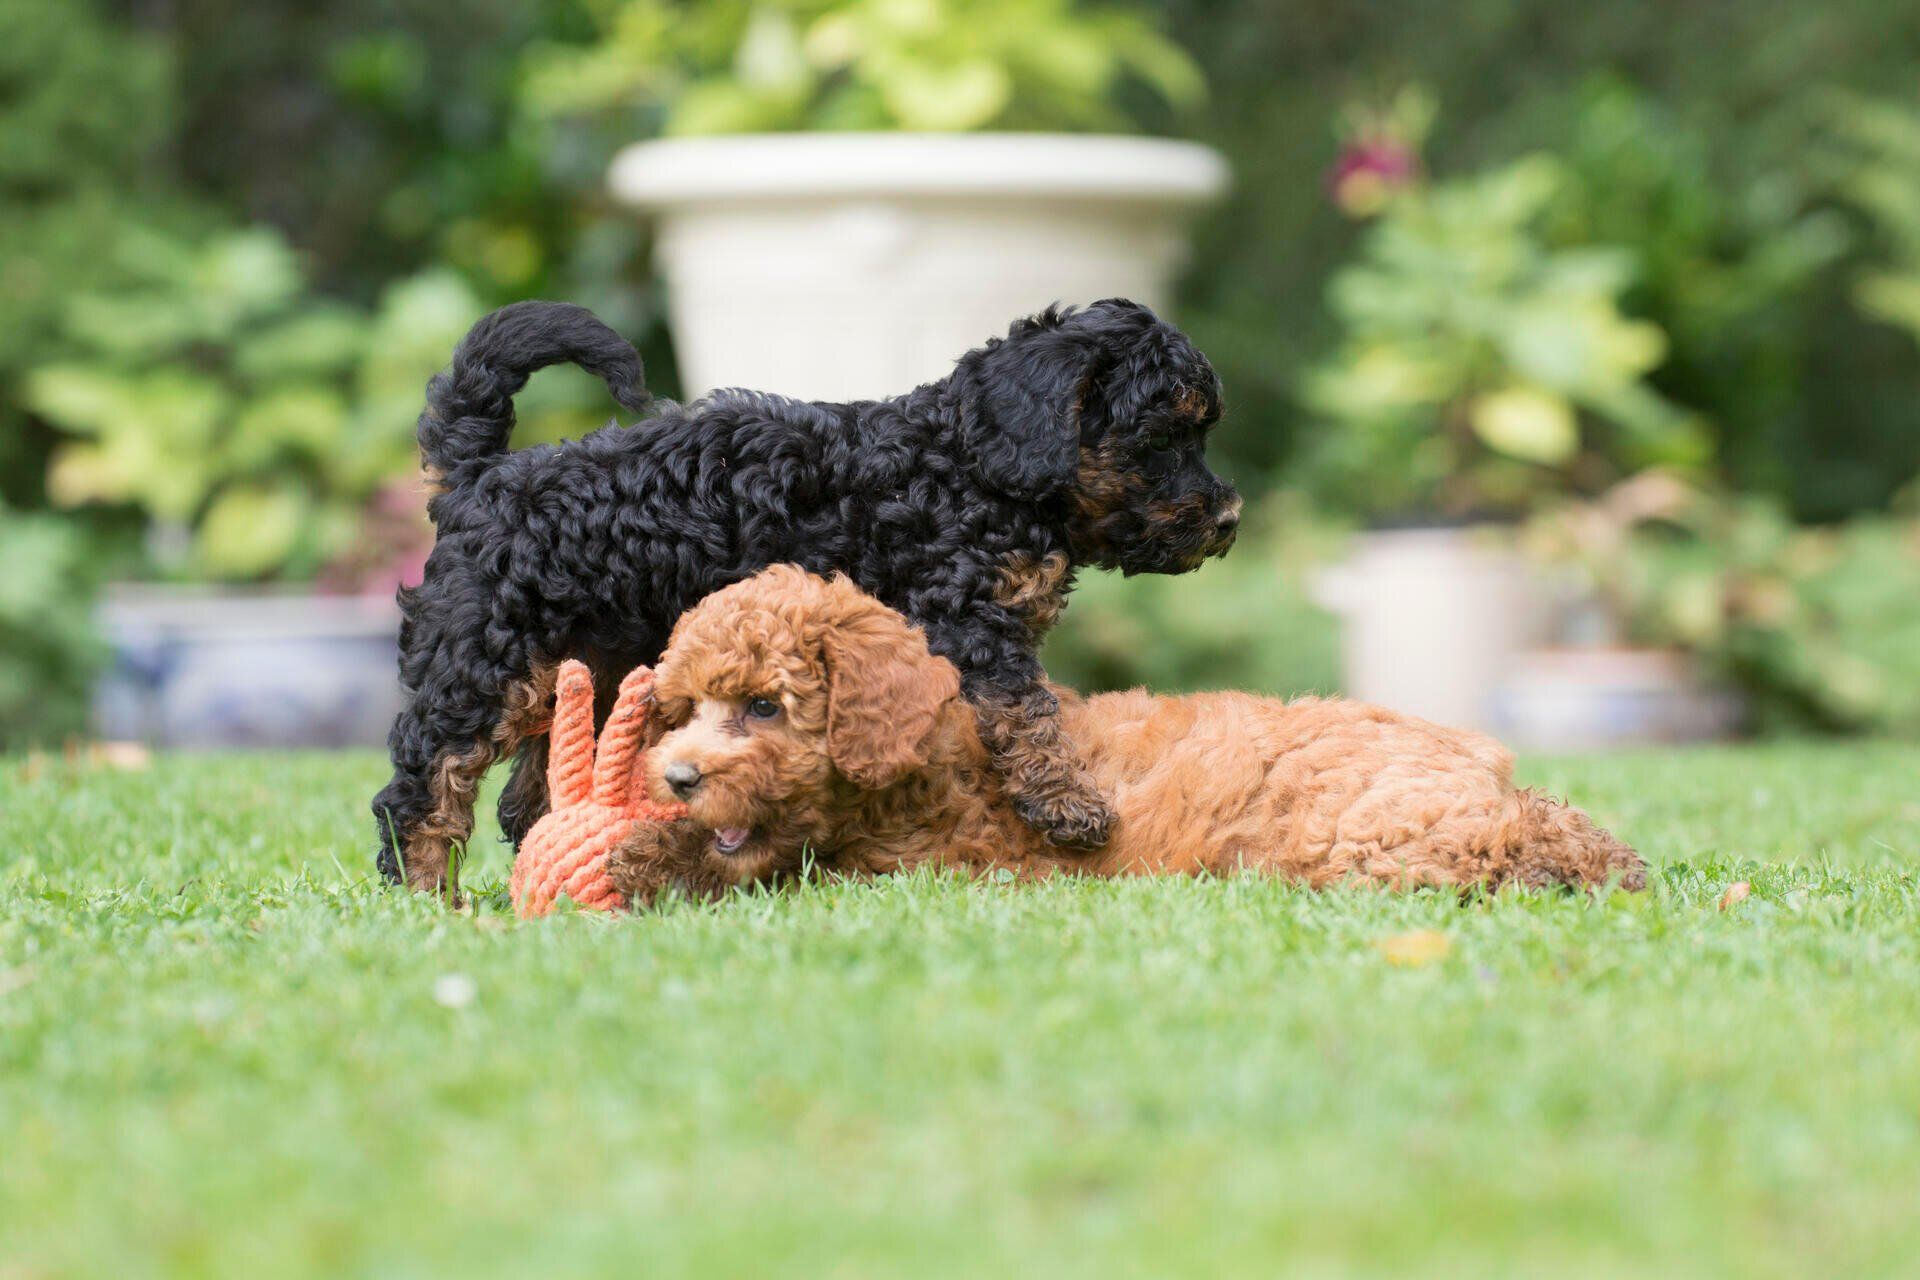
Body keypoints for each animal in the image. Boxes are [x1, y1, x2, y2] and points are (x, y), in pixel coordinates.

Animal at [372, 301, 1236, 901]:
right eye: (1162, 439)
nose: (1228, 518)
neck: (969, 466)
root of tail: (482, 475)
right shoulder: (969, 623)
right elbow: (1028, 718)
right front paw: (1068, 804)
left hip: (598, 665)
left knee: (531, 792)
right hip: (485, 656)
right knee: (421, 786)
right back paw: (428, 898)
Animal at [606, 564, 1643, 905]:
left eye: (765, 708)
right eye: (680, 710)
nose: (678, 776)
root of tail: (1495, 772)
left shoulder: (935, 865)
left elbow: (787, 870)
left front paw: (651, 863)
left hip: (1357, 838)